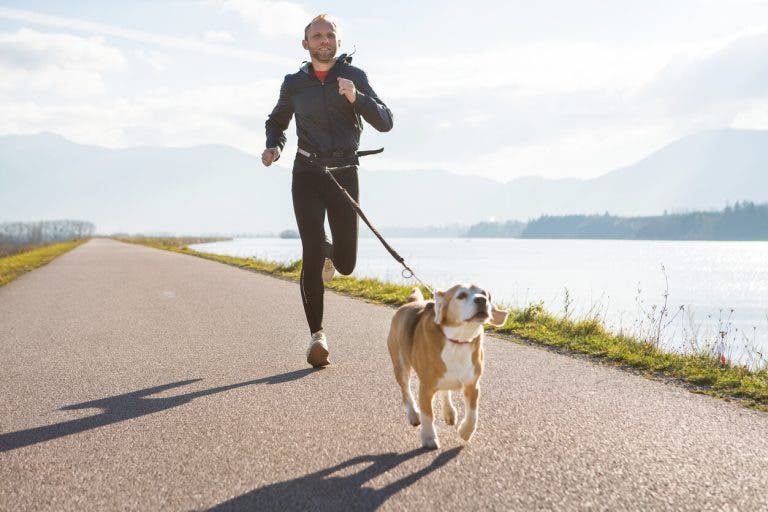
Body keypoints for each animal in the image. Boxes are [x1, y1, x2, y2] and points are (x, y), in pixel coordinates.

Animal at [388, 286, 508, 450]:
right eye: (461, 295)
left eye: (485, 295)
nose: (482, 300)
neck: (459, 340)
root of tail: (410, 303)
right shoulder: (425, 387)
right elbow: (428, 415)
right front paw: (429, 437)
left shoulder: (473, 385)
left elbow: (473, 413)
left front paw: (465, 432)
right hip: (401, 367)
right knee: (406, 392)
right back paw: (413, 414)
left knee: (445, 390)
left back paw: (449, 411)